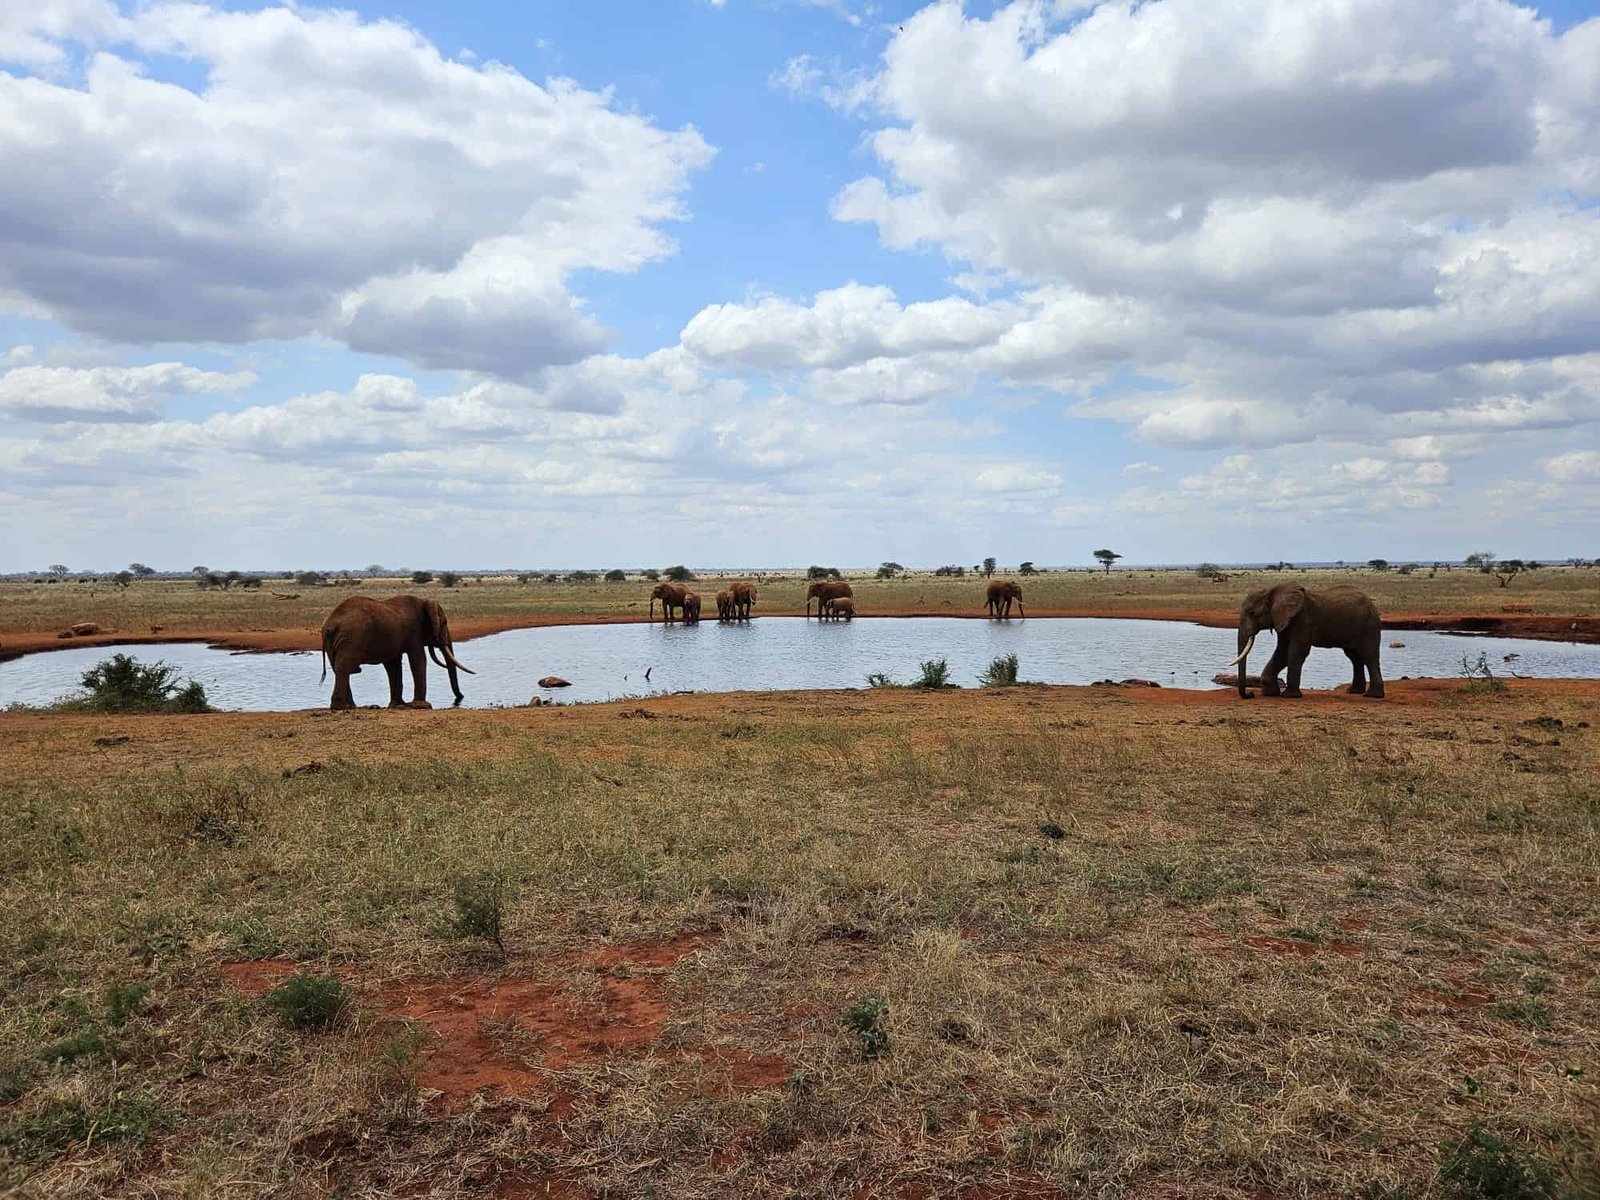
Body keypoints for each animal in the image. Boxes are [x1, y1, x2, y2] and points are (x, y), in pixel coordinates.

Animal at [320, 594, 474, 711]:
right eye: (444, 623)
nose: (460, 698)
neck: (423, 601)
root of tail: (330, 625)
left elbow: (393, 665)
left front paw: (398, 705)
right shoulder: (414, 631)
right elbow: (418, 660)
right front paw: (422, 706)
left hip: (336, 642)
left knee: (338, 668)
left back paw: (350, 706)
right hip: (352, 638)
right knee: (344, 666)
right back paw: (342, 707)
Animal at [1228, 583, 1384, 700]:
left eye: (1252, 613)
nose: (1250, 694)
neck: (1273, 590)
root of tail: (1372, 604)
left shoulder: (1302, 620)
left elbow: (1295, 651)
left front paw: (1289, 696)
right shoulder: (1283, 620)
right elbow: (1282, 652)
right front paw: (1270, 693)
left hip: (1369, 625)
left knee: (1368, 656)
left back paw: (1373, 696)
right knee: (1354, 657)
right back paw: (1354, 692)